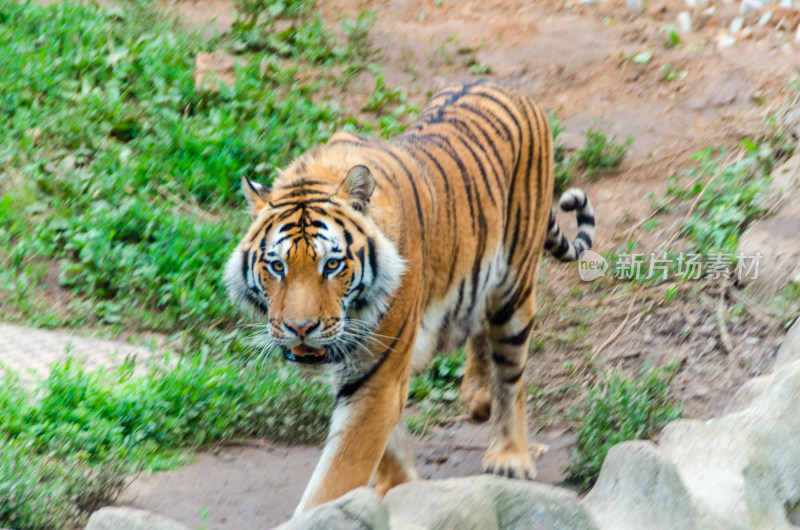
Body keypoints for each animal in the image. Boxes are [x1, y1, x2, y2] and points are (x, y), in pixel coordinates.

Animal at [225, 78, 592, 512]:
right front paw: (396, 488)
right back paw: (477, 397)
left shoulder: (376, 376)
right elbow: (389, 444)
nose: (300, 328)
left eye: (331, 265)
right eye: (277, 267)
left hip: (514, 288)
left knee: (511, 376)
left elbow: (336, 476)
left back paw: (509, 456)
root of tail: (506, 85)